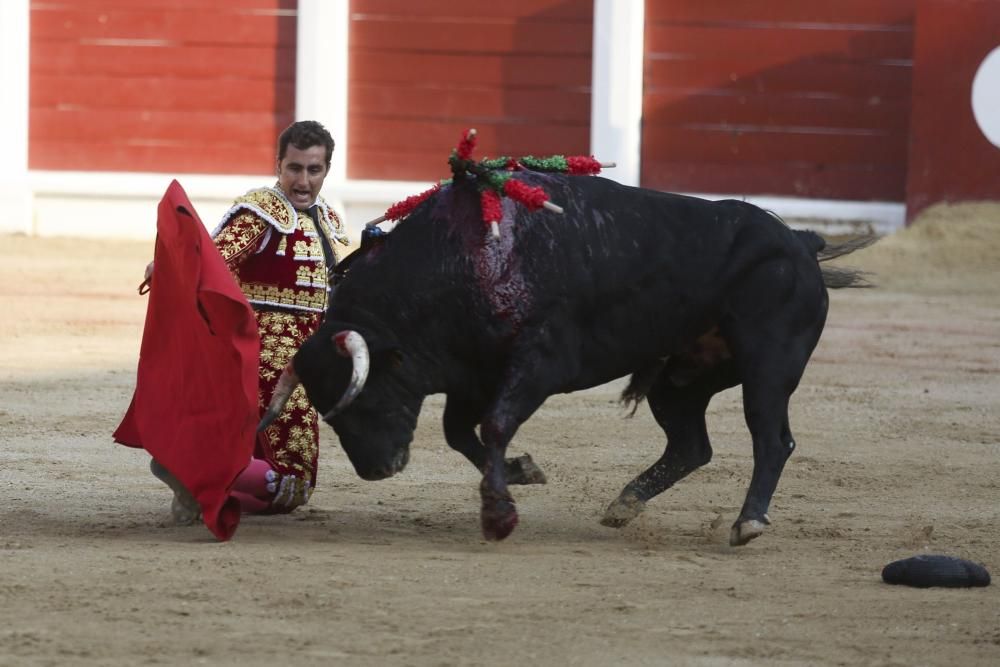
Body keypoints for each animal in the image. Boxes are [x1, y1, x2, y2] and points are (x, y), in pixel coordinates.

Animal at [262, 174, 872, 548]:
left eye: (363, 400)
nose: (376, 470)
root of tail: (800, 241)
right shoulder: (472, 373)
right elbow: (462, 433)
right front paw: (521, 473)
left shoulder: (539, 363)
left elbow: (492, 425)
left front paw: (499, 515)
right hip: (680, 378)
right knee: (690, 445)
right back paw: (624, 504)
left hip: (768, 366)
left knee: (772, 438)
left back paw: (748, 521)